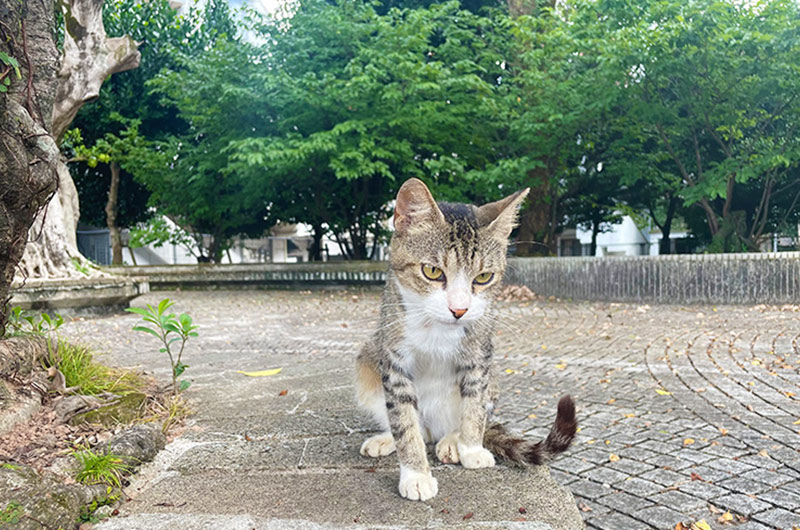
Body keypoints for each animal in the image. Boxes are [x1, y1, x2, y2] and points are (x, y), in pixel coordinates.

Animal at [354, 177, 576, 500]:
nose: (459, 310)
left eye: (483, 277)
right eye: (432, 271)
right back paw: (390, 439)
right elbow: (403, 420)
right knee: (413, 426)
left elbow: (474, 403)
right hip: (367, 358)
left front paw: (471, 448)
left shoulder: (480, 353)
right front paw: (415, 473)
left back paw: (452, 440)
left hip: (492, 377)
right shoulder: (393, 357)